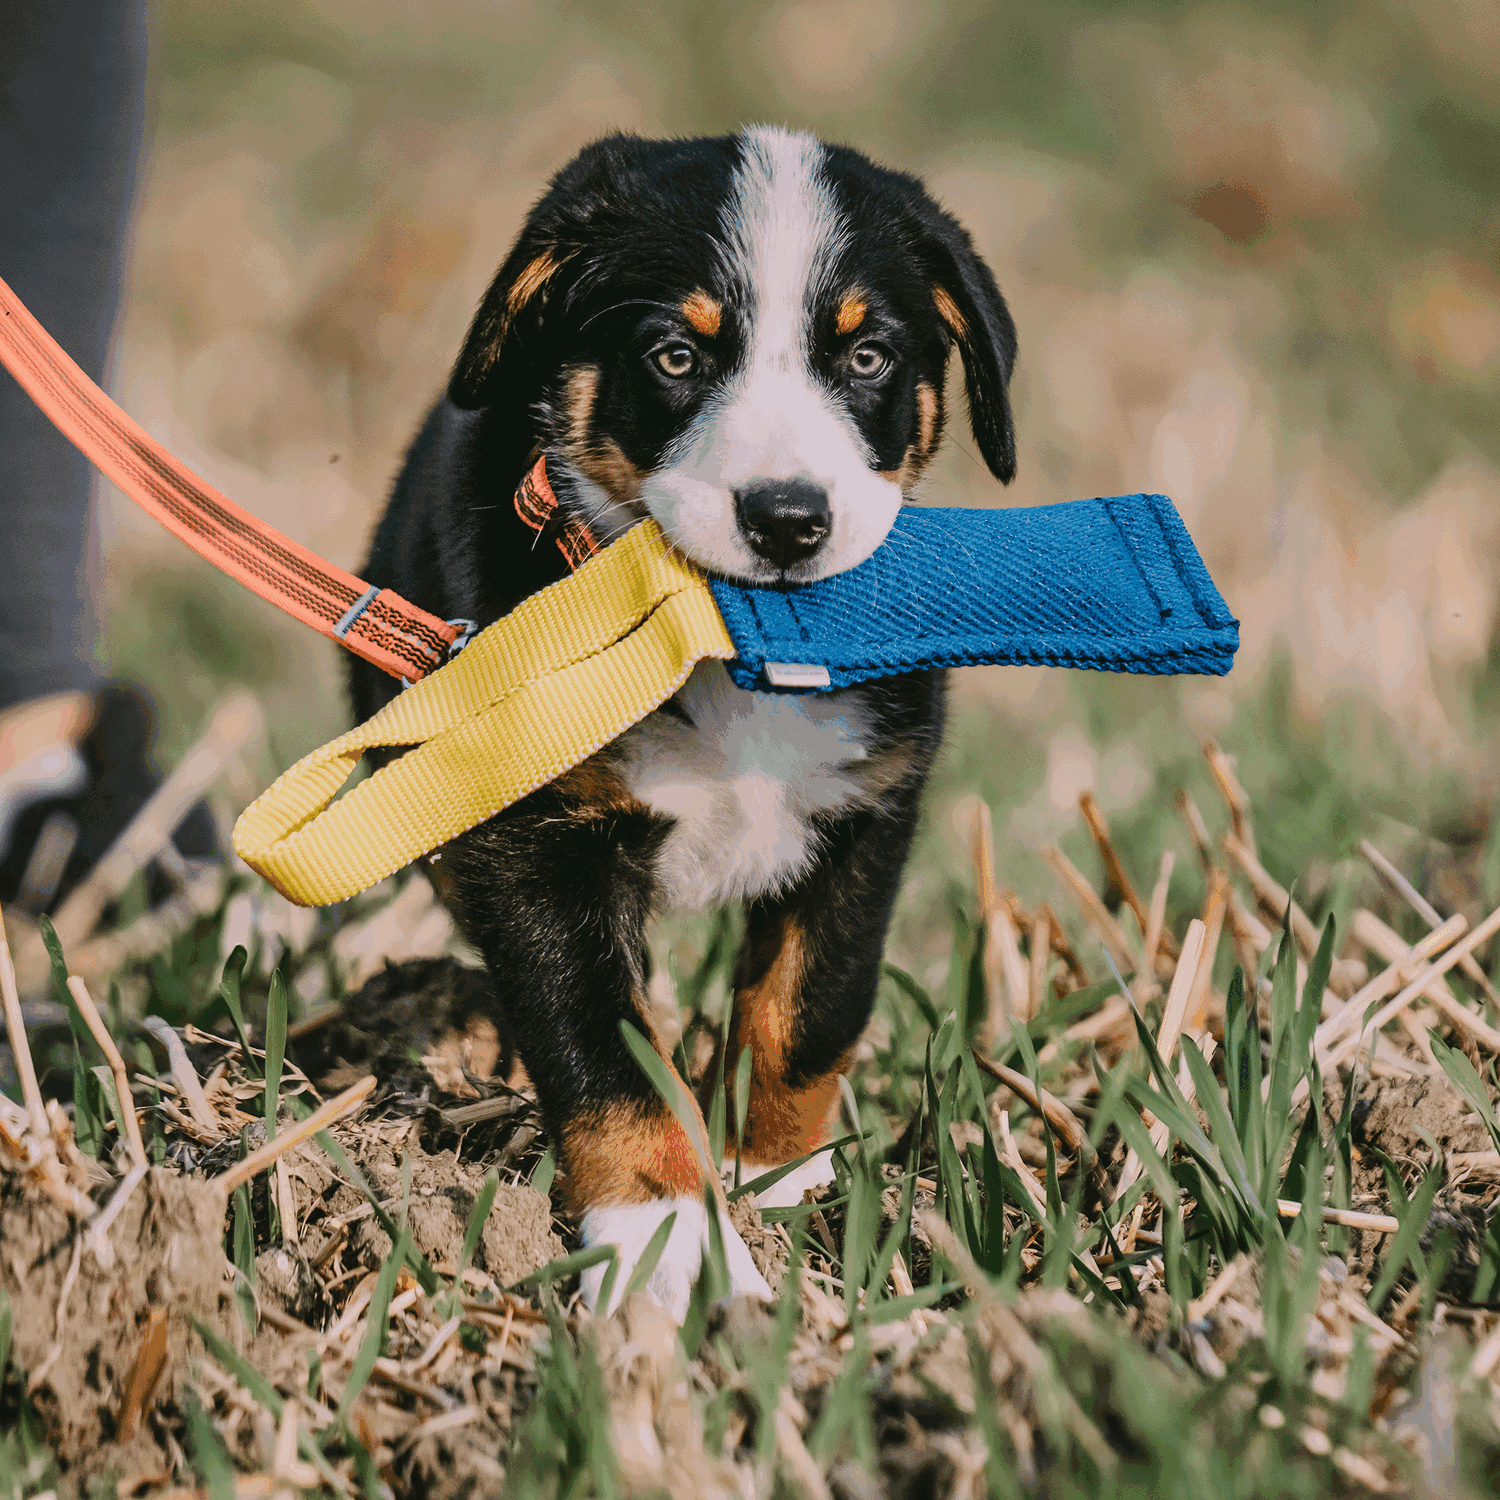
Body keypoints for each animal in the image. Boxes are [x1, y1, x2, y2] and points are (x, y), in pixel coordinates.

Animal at [348, 126, 1020, 1314]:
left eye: (866, 358)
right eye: (674, 356)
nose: (789, 519)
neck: (720, 643)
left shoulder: (870, 809)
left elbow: (810, 1006)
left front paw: (775, 1173)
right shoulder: (538, 843)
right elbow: (604, 1049)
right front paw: (668, 1243)